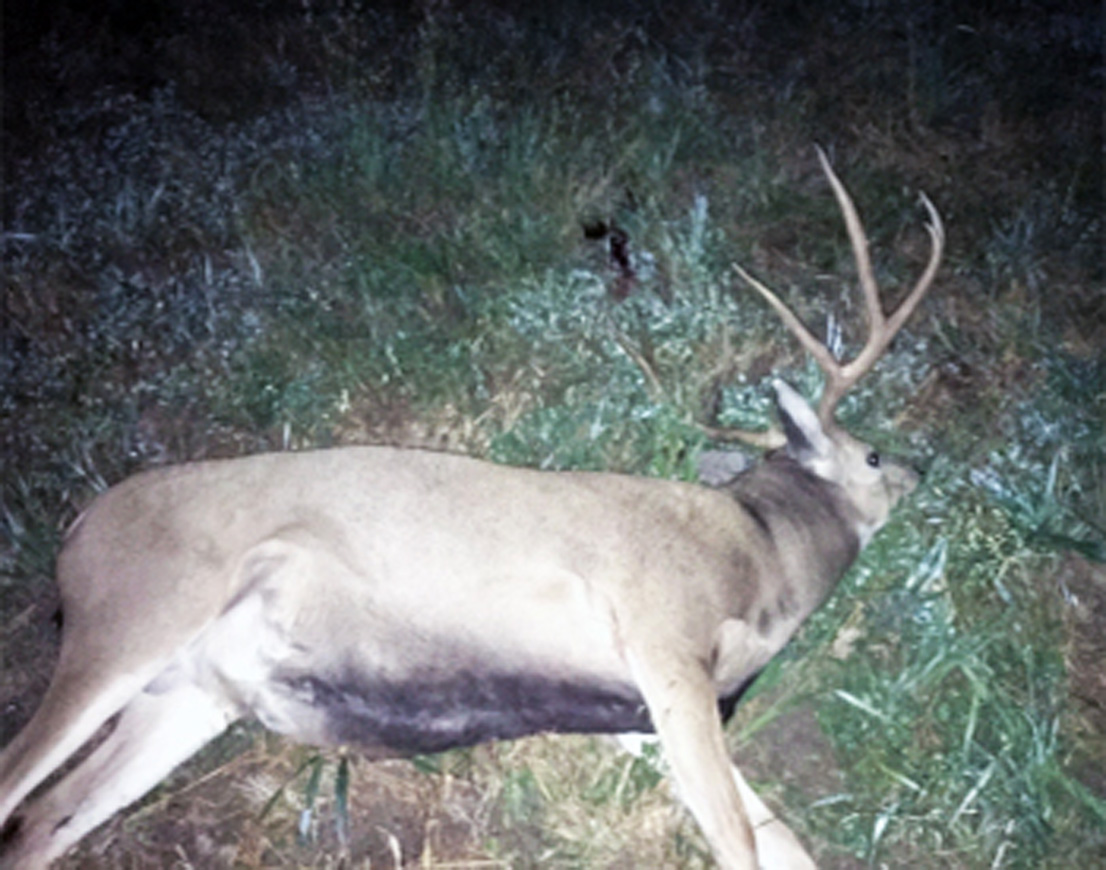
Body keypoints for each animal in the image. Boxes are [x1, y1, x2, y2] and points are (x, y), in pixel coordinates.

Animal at [0, 147, 943, 870]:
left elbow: (783, 842)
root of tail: (77, 533)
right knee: (18, 778)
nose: (922, 468)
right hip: (134, 615)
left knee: (38, 824)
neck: (759, 557)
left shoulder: (634, 715)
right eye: (870, 454)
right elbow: (739, 841)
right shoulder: (662, 637)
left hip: (193, 692)